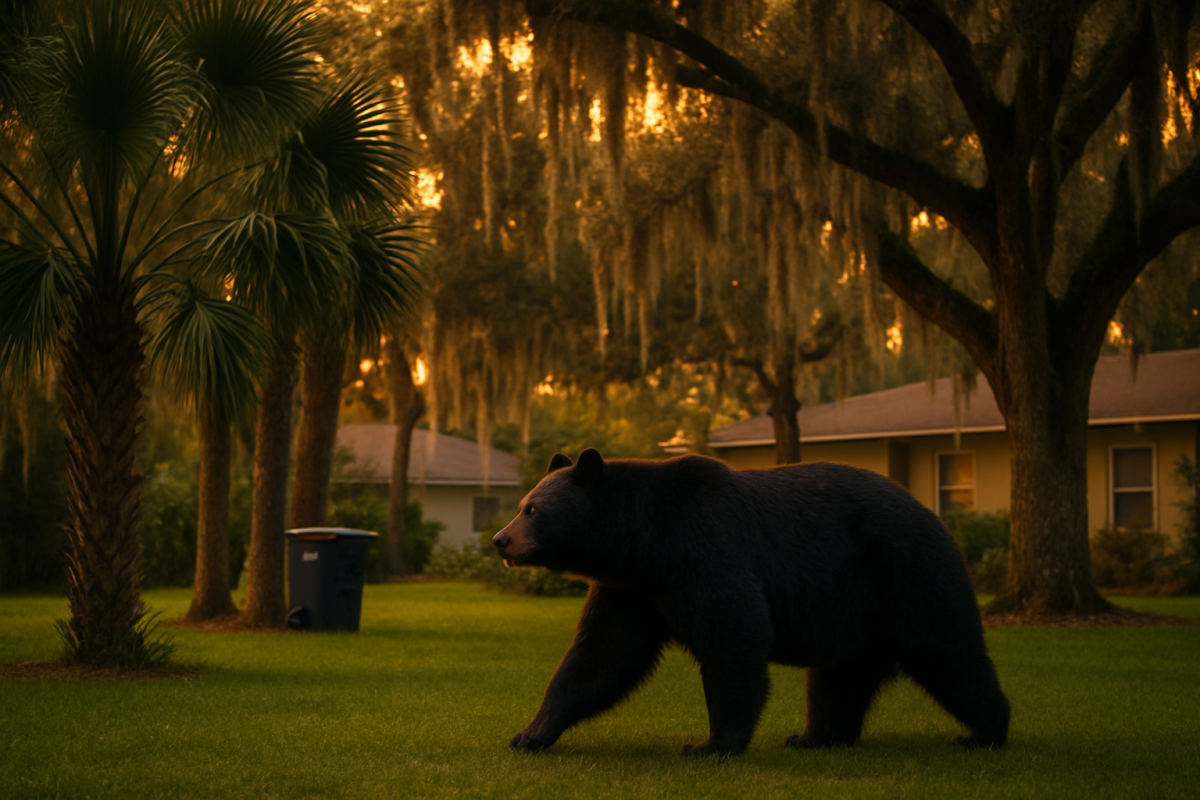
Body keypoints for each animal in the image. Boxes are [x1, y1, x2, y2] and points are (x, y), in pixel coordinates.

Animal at [492, 448, 1009, 757]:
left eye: (532, 510)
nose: (501, 540)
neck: (647, 541)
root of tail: (935, 517)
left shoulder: (707, 552)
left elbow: (734, 640)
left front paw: (712, 744)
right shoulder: (634, 590)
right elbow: (600, 658)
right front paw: (530, 733)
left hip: (906, 575)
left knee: (952, 655)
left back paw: (984, 731)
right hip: (853, 611)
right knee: (838, 677)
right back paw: (814, 735)